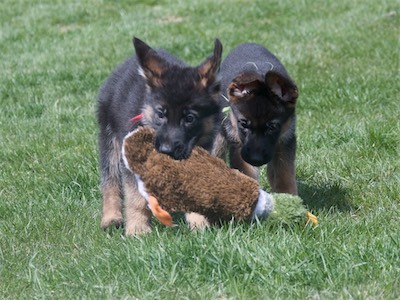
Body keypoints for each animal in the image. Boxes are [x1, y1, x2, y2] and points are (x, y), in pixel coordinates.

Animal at [96, 37, 222, 234]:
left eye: (190, 118)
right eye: (161, 114)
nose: (165, 150)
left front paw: (199, 223)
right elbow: (135, 198)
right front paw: (138, 229)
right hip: (110, 140)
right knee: (110, 179)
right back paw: (111, 217)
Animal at [214, 43, 298, 196]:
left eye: (272, 127)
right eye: (243, 124)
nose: (256, 159)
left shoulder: (285, 141)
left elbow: (284, 174)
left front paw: (287, 196)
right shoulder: (239, 146)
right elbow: (246, 173)